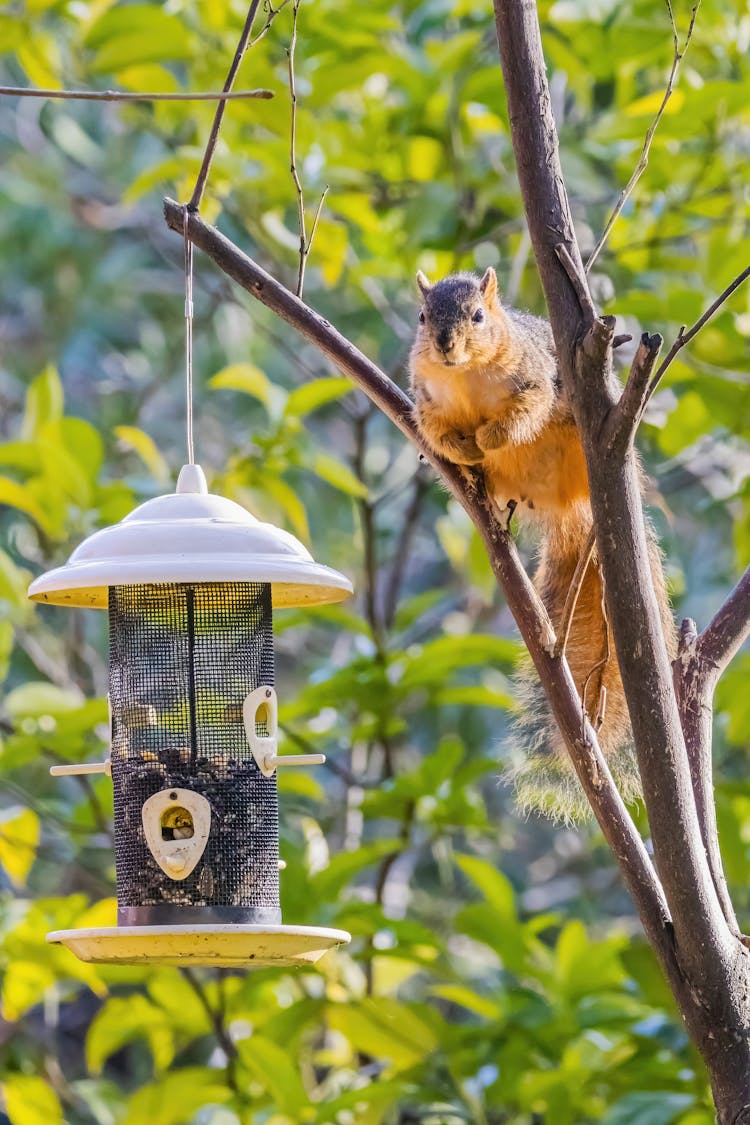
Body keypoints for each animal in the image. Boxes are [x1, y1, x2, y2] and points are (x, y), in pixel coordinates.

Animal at [407, 267, 679, 823]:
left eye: (478, 316)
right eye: (422, 317)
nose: (444, 345)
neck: (465, 376)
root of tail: (570, 503)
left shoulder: (535, 377)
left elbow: (525, 411)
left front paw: (487, 438)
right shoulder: (424, 400)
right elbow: (436, 432)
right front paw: (461, 447)